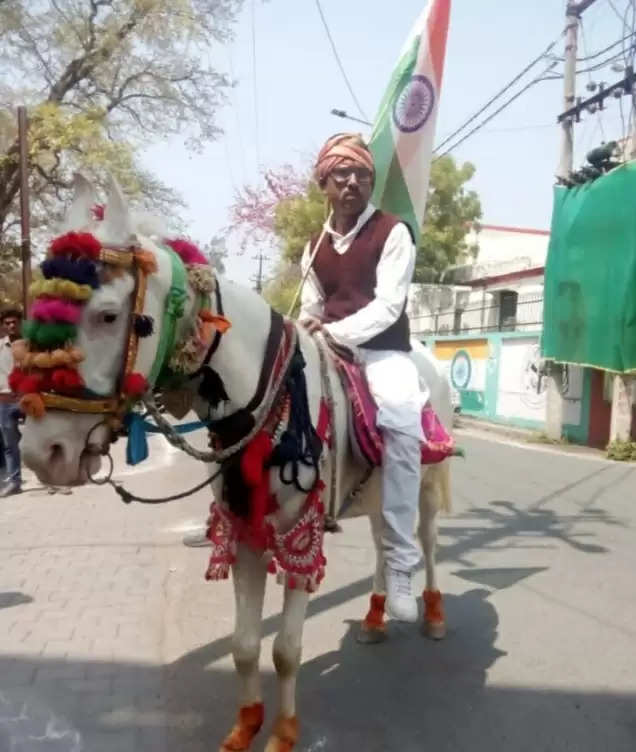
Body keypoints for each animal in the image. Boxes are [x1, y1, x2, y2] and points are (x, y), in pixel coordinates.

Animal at [19, 178, 454, 752]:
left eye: (109, 315)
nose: (40, 452)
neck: (267, 396)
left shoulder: (300, 535)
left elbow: (285, 651)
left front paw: (284, 732)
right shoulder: (245, 527)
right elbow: (244, 643)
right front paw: (245, 724)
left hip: (424, 483)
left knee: (424, 541)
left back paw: (428, 612)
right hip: (374, 494)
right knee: (387, 542)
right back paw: (377, 615)